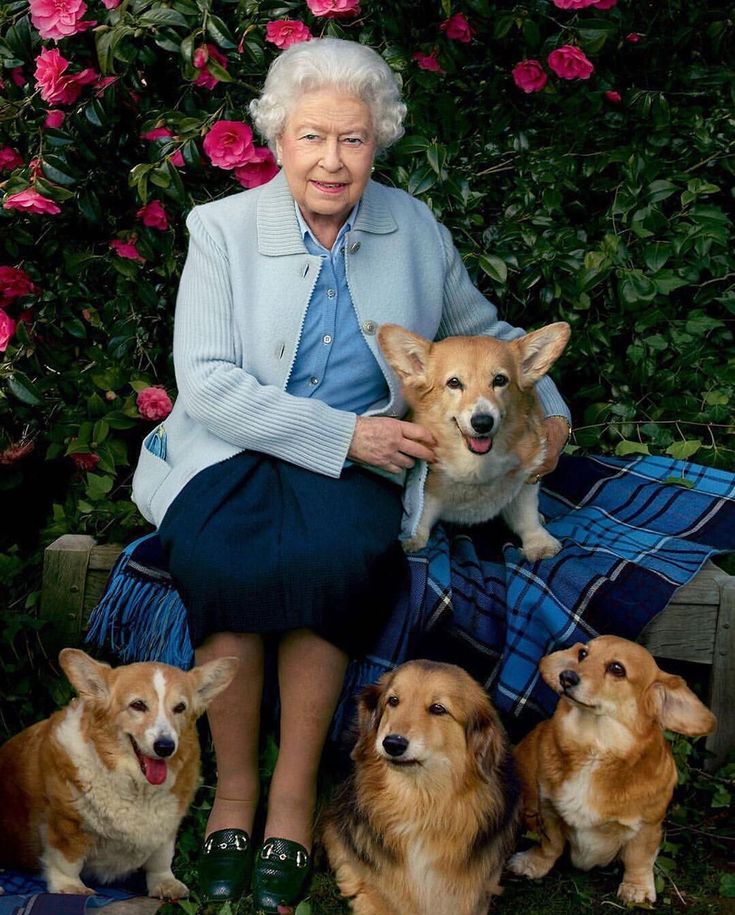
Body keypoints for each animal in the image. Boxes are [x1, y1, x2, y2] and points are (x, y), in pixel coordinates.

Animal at [0, 648, 239, 900]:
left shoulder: (166, 828)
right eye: (138, 705)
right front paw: (71, 888)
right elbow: (66, 861)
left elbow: (161, 859)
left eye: (180, 708)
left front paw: (165, 884)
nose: (165, 746)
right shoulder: (65, 824)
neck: (135, 785)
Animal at [376, 326, 572, 560]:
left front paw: (539, 543)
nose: (482, 423)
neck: (476, 464)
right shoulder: (428, 489)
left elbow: (527, 516)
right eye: (454, 382)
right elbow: (422, 513)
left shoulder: (525, 480)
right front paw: (413, 537)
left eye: (499, 380)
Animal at [508, 640, 716, 904]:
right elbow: (550, 844)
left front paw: (636, 889)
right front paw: (533, 863)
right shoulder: (548, 809)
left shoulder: (647, 826)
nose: (566, 676)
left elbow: (639, 859)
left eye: (617, 668)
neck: (595, 749)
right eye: (583, 654)